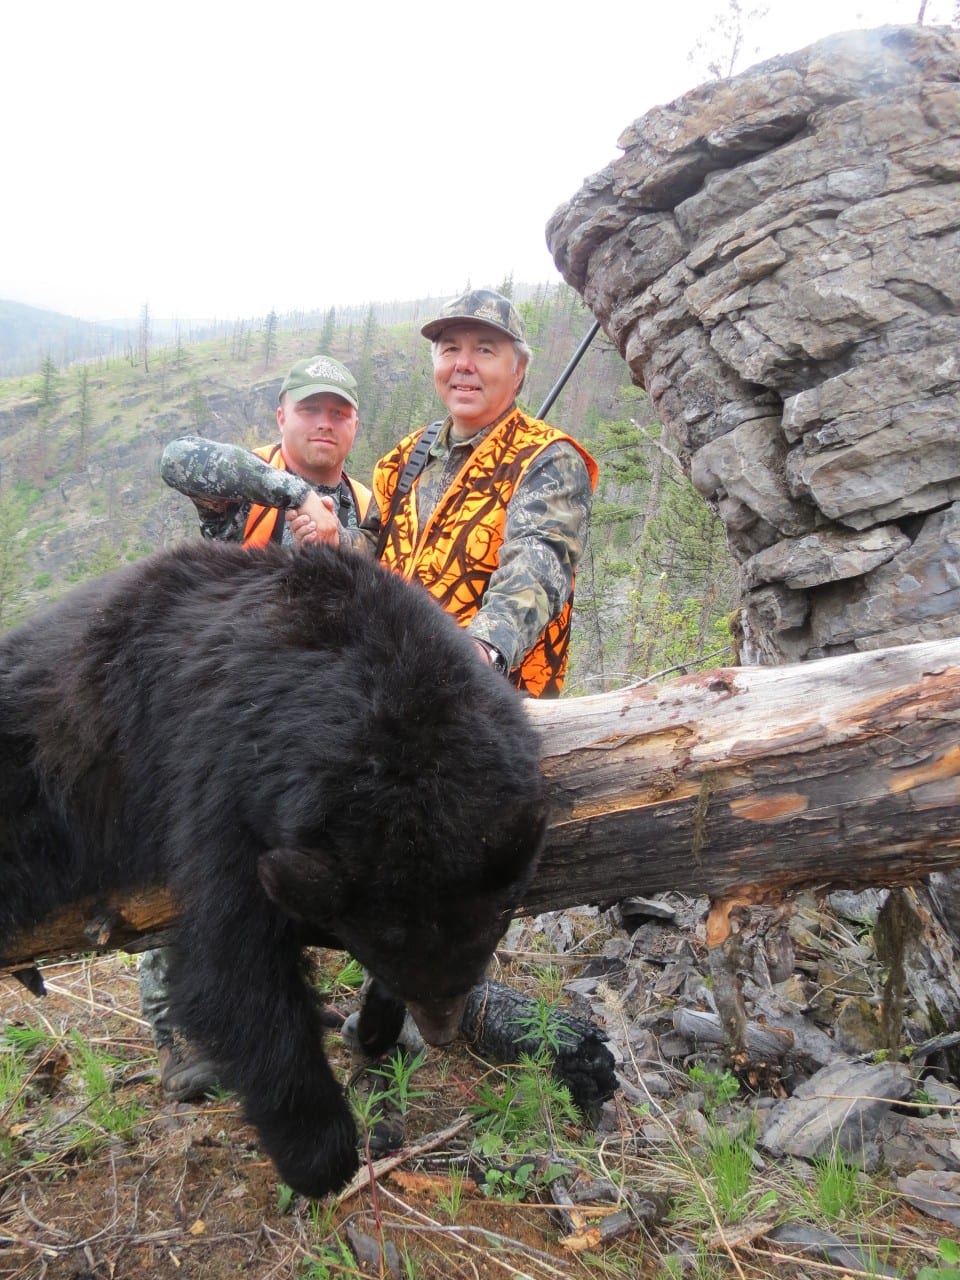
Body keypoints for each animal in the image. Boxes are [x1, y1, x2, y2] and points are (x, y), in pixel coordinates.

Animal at [0, 540, 547, 1197]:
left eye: (487, 938)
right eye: (388, 953)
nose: (442, 1031)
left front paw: (375, 1023)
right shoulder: (220, 772)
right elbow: (232, 966)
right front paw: (321, 1151)